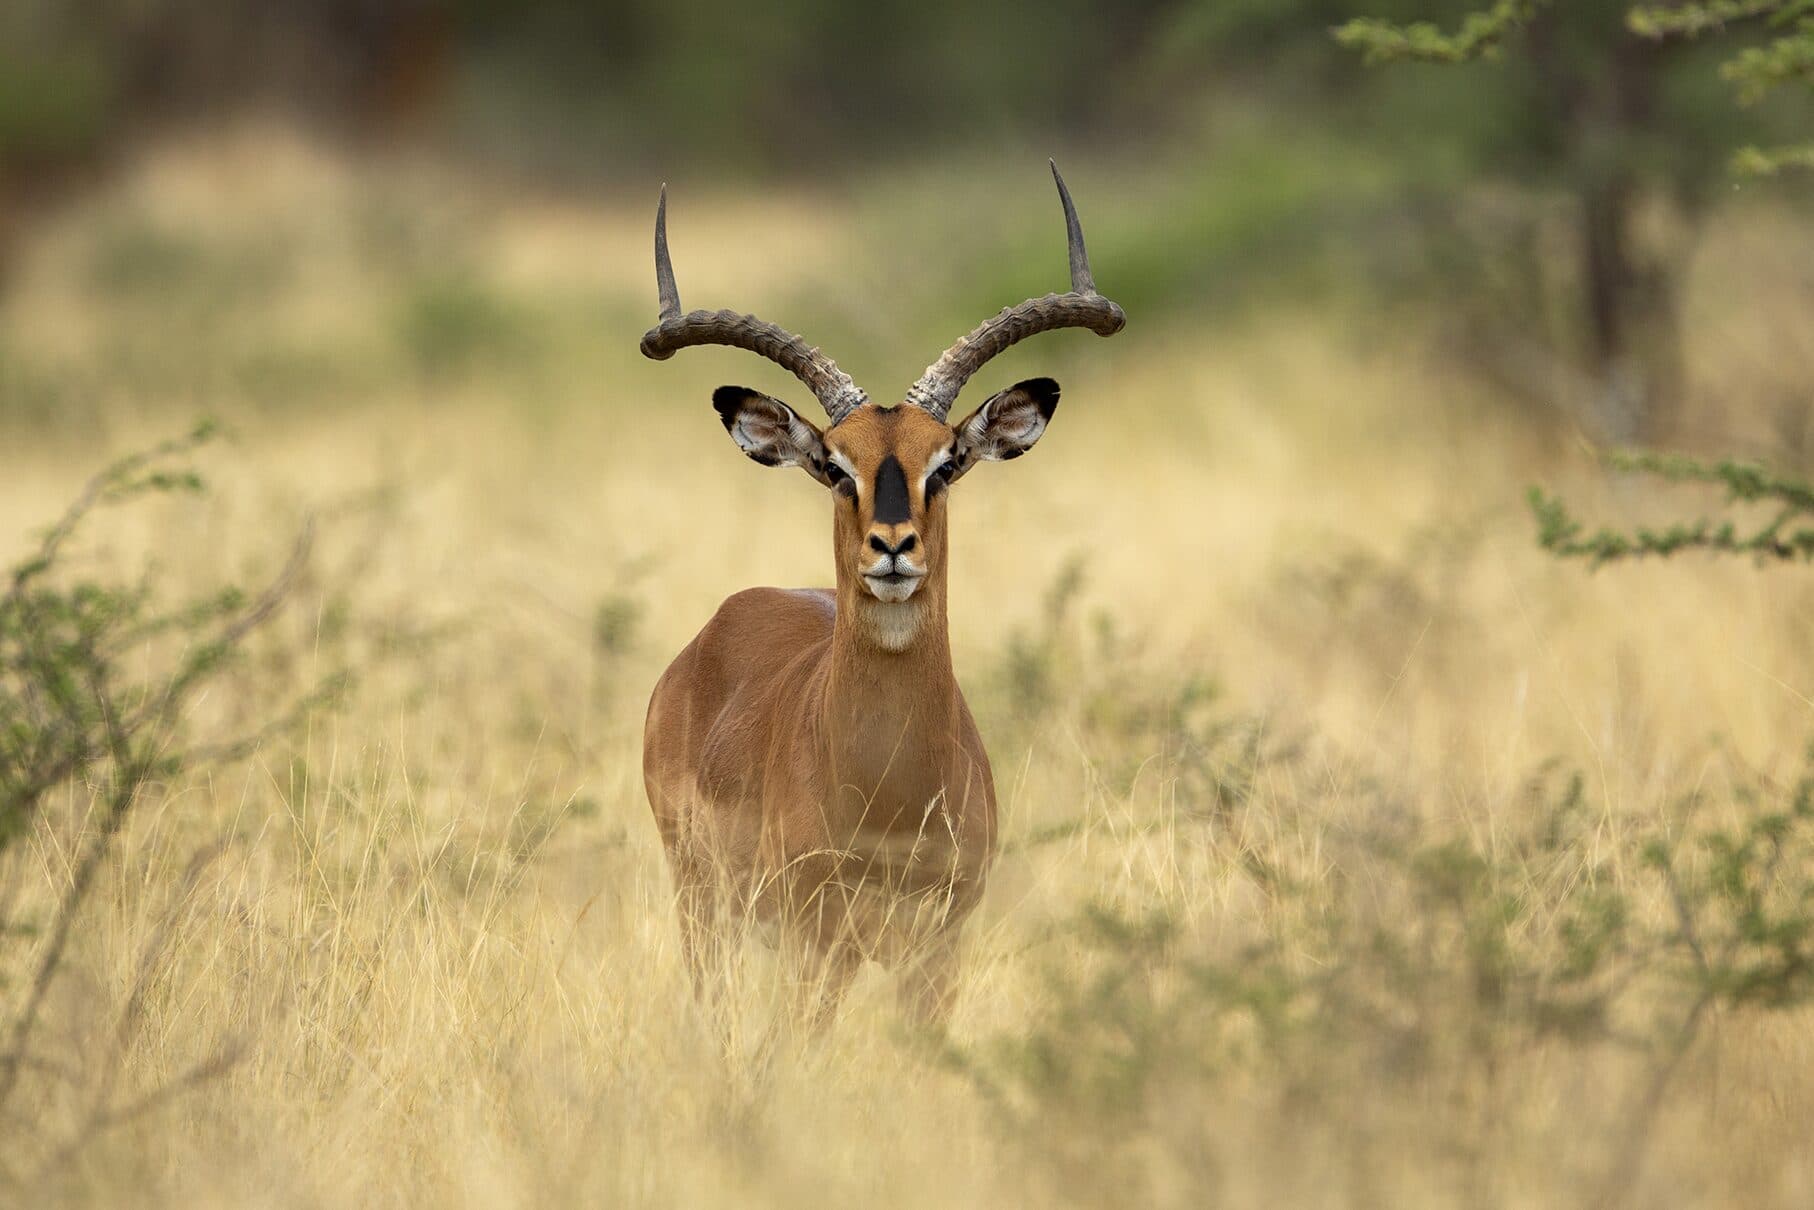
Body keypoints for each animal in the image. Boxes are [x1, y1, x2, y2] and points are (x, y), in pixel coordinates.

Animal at [640, 163, 1125, 1025]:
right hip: (702, 904)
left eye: (948, 461)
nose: (893, 547)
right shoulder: (819, 947)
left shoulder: (939, 953)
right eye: (834, 465)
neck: (890, 795)